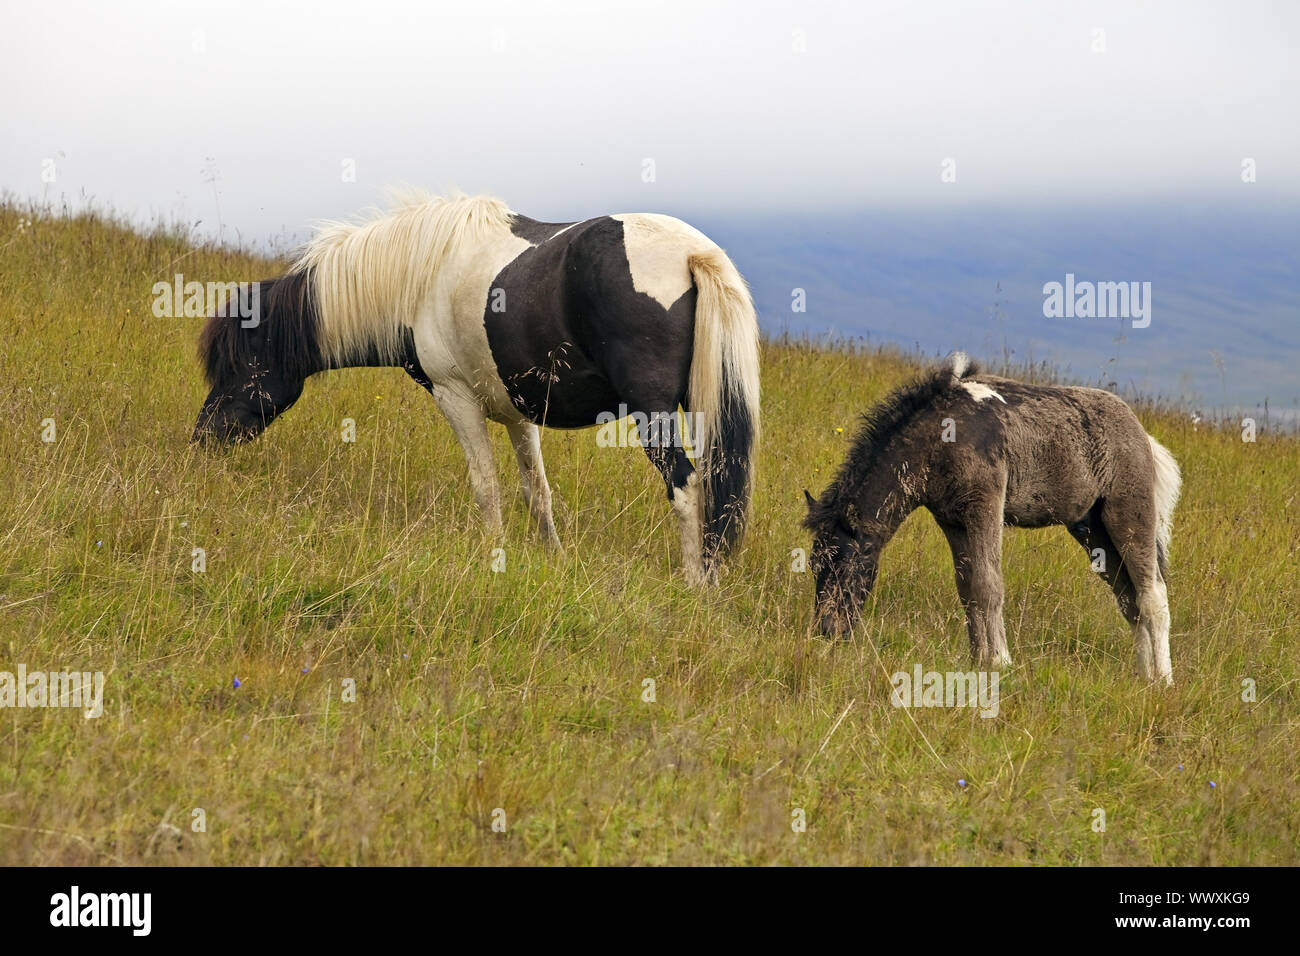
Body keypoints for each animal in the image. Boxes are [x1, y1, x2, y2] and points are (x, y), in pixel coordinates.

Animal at [193, 192, 761, 583]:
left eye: (240, 364)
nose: (203, 439)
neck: (417, 276)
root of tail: (693, 252)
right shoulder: (516, 412)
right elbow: (537, 492)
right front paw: (554, 560)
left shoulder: (455, 397)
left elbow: (485, 485)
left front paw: (494, 556)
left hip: (653, 415)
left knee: (686, 486)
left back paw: (695, 584)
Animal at [804, 353, 1182, 684]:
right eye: (814, 564)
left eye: (845, 564)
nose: (829, 630)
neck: (941, 436)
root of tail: (1144, 438)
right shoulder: (952, 520)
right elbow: (968, 587)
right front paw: (978, 659)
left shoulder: (984, 505)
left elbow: (988, 584)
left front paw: (1000, 661)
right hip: (1093, 530)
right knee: (1129, 599)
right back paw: (1144, 675)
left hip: (1129, 514)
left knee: (1152, 595)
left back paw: (1163, 680)